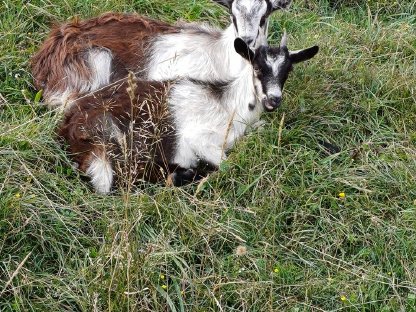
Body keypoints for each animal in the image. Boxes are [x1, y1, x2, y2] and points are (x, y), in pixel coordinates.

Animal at [59, 36, 318, 193]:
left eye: (287, 71)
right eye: (257, 67)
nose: (273, 100)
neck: (230, 106)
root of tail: (69, 127)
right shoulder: (201, 140)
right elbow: (226, 164)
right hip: (115, 142)